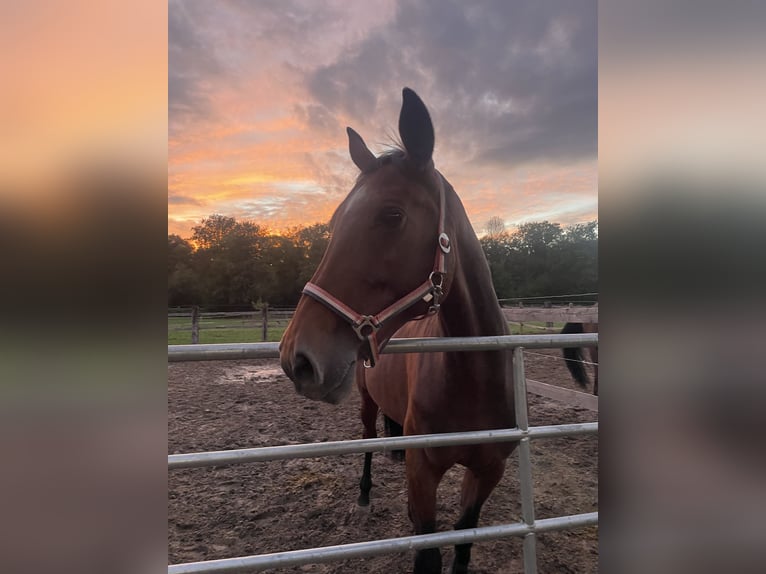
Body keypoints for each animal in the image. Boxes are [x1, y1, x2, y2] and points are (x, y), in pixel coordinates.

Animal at [279, 88, 516, 574]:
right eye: (333, 221)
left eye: (391, 214)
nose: (297, 358)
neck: (475, 378)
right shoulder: (423, 471)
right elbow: (428, 552)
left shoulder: (488, 471)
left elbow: (463, 540)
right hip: (367, 406)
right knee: (369, 442)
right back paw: (365, 496)